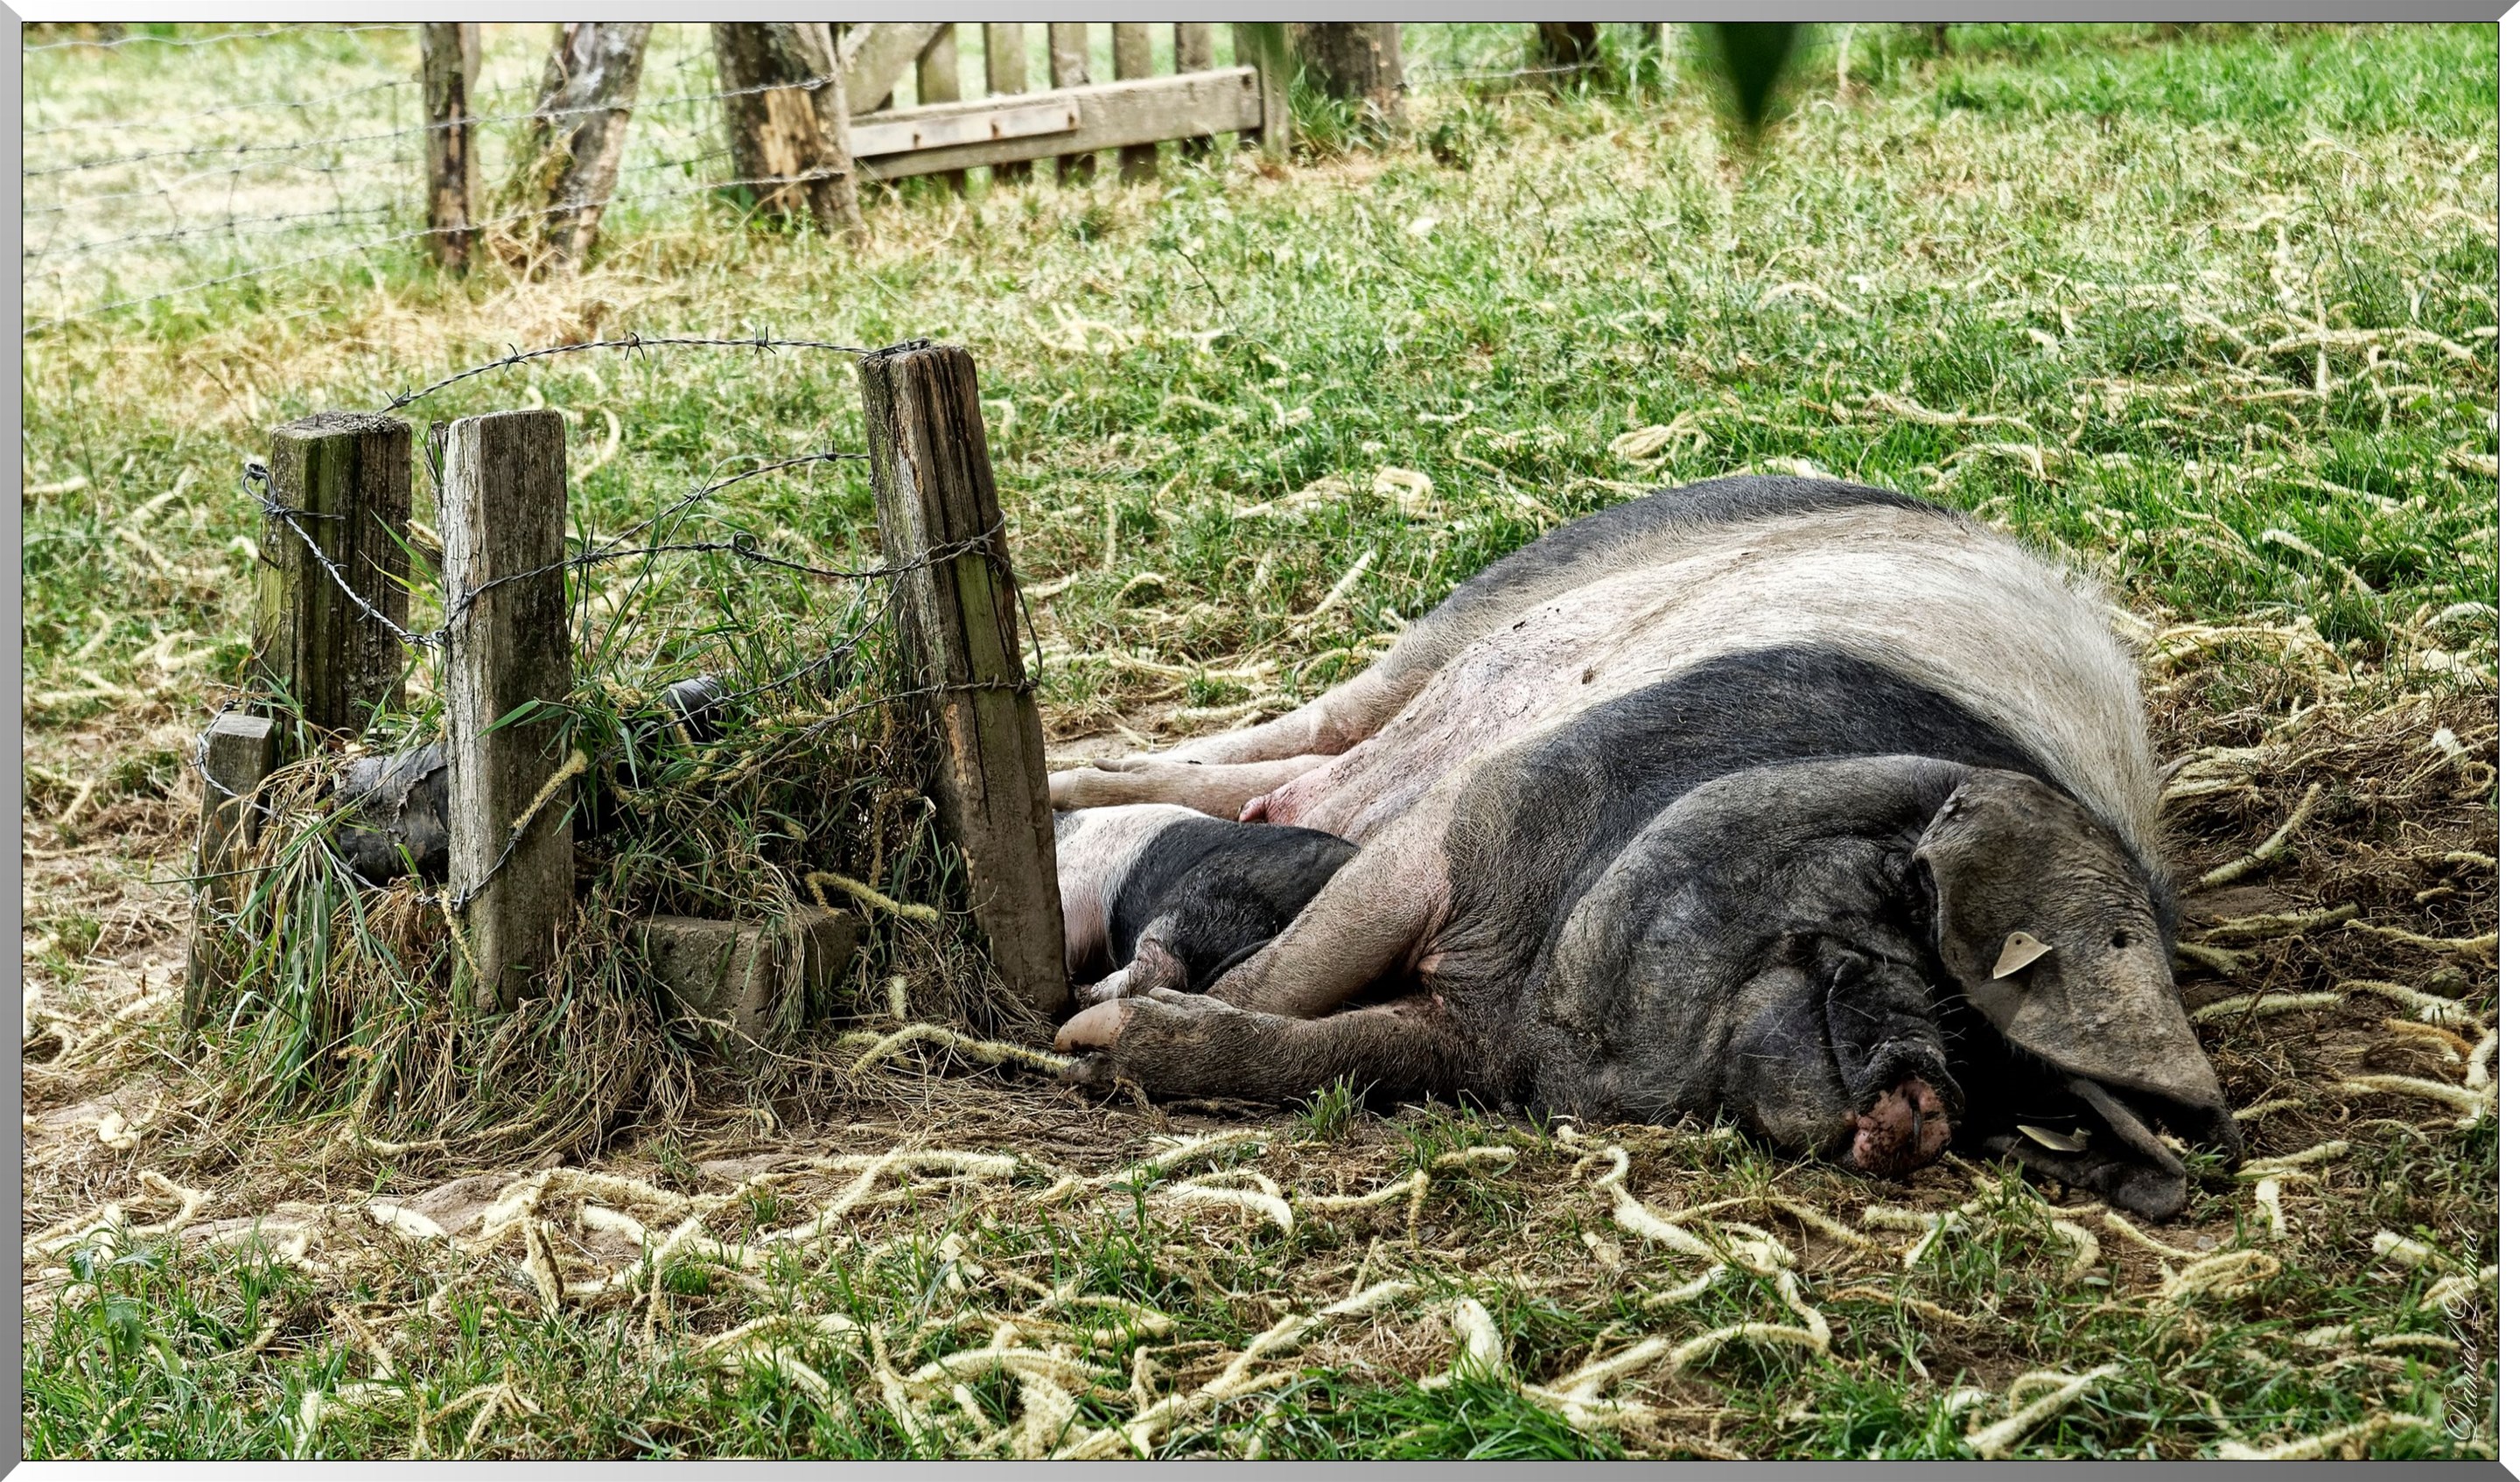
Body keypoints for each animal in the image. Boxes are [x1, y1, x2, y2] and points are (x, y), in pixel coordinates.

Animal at [1048, 475, 2240, 1219]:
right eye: (1905, 906)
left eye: (1989, 1060)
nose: (1926, 1100)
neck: (1533, 990)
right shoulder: (1471, 822)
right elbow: (1289, 974)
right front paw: (1084, 1028)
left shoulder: (1470, 1044)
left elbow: (1331, 1051)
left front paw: (1103, 1036)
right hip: (1487, 605)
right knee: (1304, 728)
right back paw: (1064, 770)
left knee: (1287, 780)